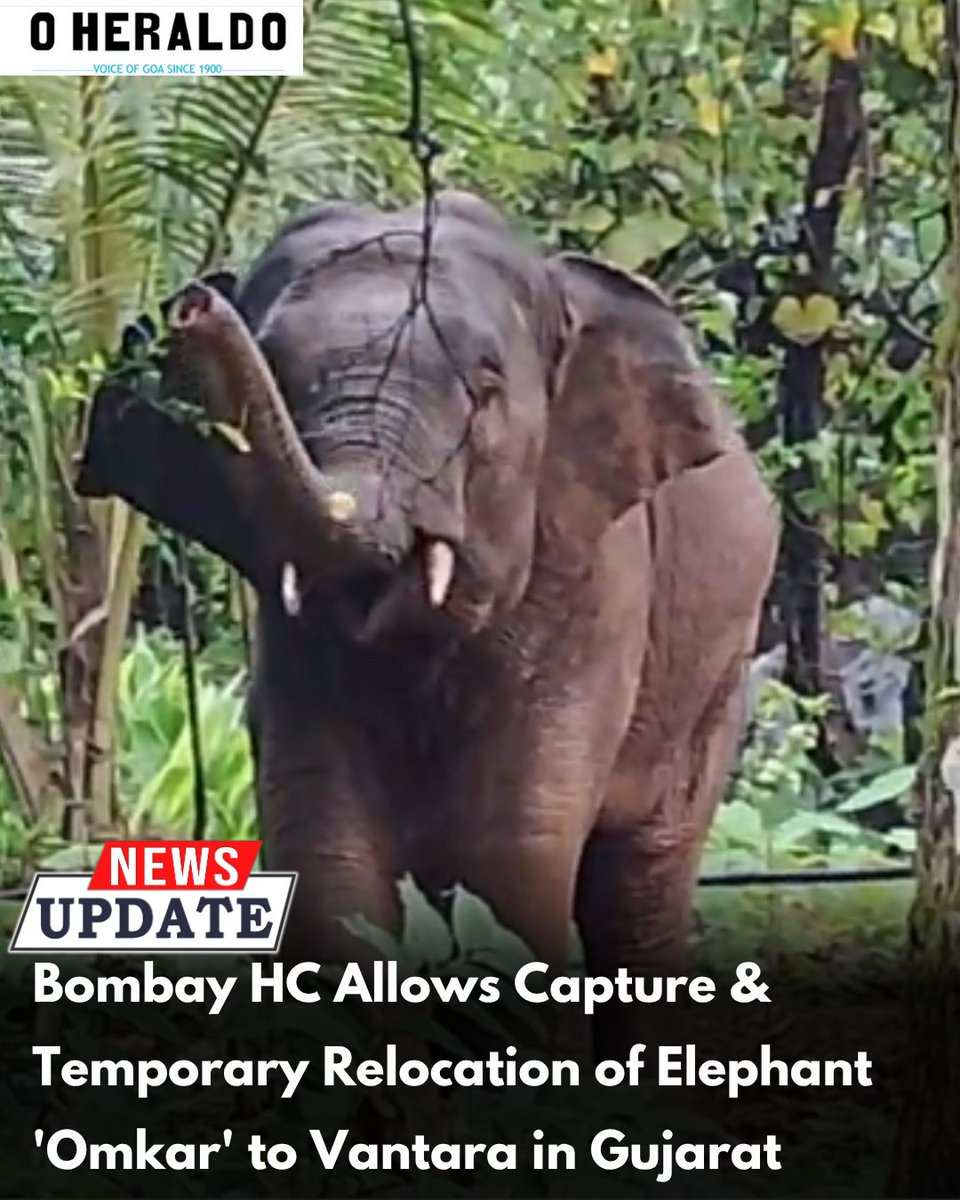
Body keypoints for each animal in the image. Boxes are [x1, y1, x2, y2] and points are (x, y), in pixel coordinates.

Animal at [77, 189, 779, 1055]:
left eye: (485, 389)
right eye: (274, 367)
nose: (194, 304)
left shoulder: (595, 580)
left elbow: (510, 857)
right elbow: (326, 845)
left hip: (714, 680)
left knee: (635, 894)